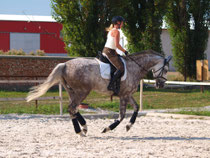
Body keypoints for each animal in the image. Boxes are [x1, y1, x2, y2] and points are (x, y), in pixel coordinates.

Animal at [26, 50, 171, 136]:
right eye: (166, 70)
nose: (161, 84)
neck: (134, 67)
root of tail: (65, 64)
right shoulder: (124, 95)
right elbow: (122, 115)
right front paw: (108, 128)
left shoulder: (128, 94)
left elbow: (136, 107)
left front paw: (129, 126)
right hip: (82, 92)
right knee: (72, 108)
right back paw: (80, 131)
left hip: (73, 92)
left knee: (73, 109)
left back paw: (84, 127)